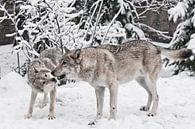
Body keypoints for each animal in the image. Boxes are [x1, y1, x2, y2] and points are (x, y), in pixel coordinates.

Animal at [51, 40, 193, 123]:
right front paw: (95, 121)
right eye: (59, 62)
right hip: (141, 81)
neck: (94, 64)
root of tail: (153, 45)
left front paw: (111, 121)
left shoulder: (113, 86)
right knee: (150, 94)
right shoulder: (99, 89)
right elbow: (99, 108)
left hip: (149, 80)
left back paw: (152, 112)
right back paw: (146, 108)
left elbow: (112, 106)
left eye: (64, 63)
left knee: (157, 95)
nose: (52, 72)